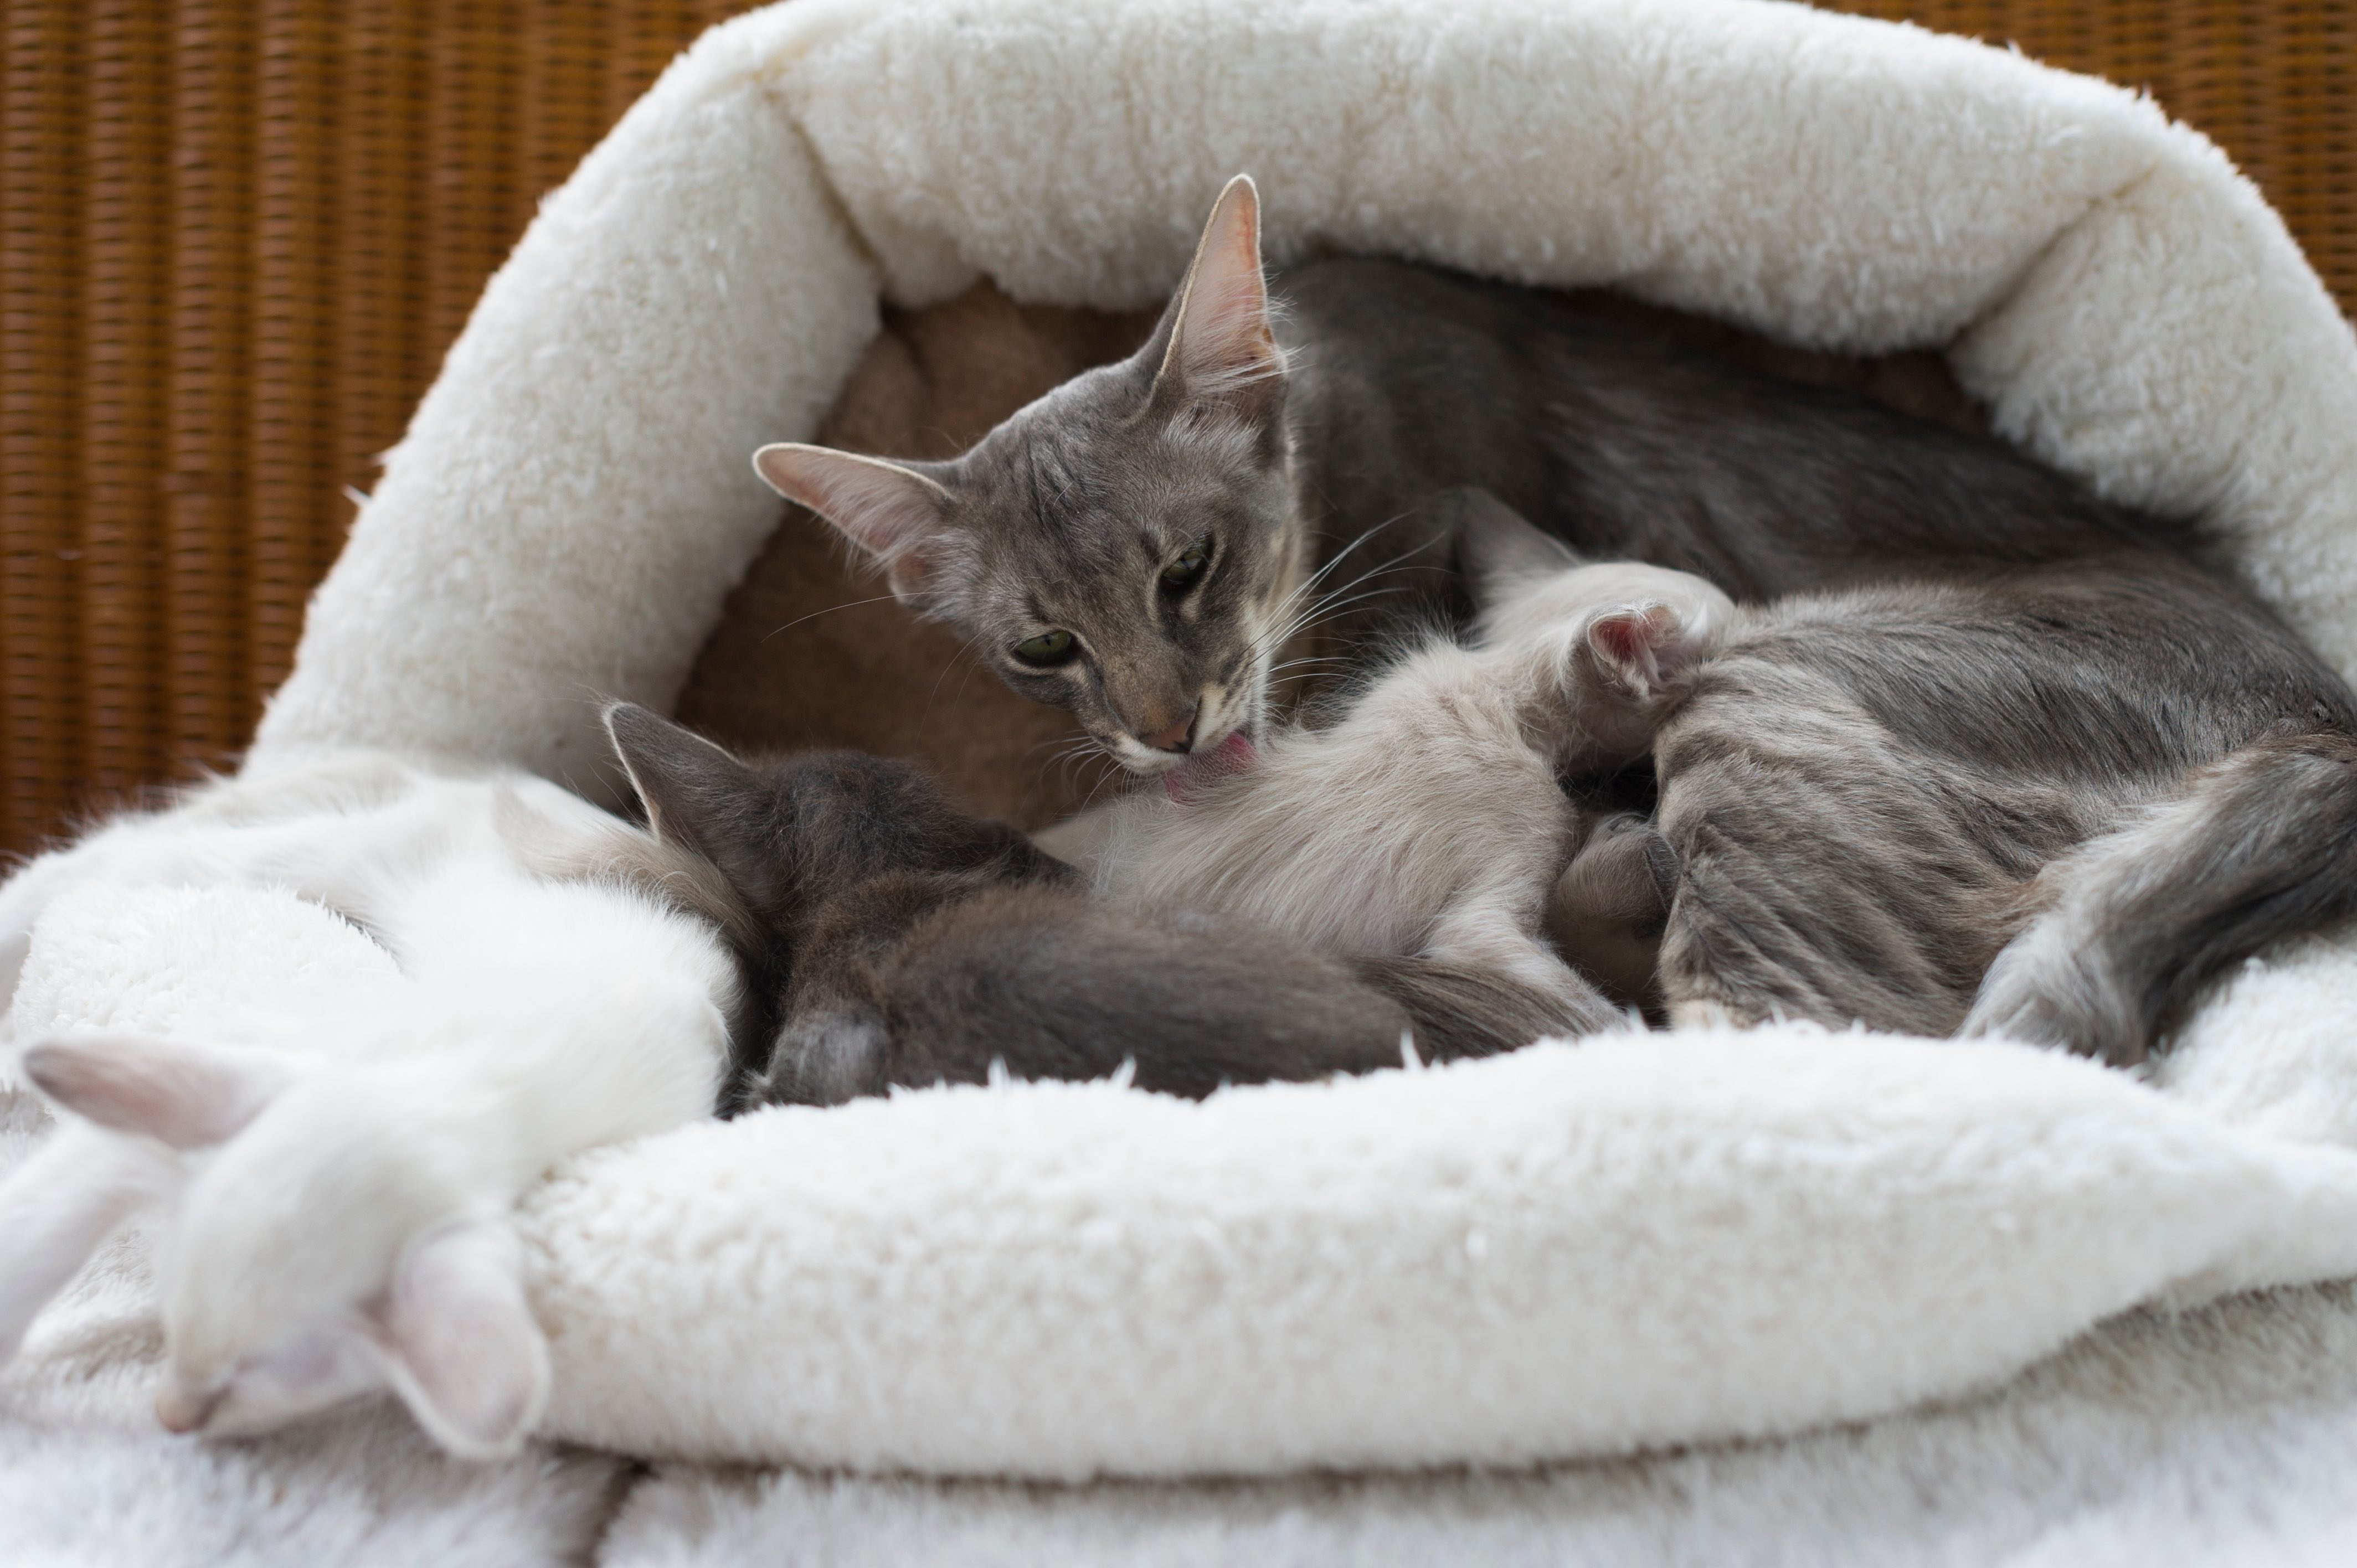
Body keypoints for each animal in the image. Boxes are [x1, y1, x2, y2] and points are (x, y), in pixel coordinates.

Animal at [0, 754, 735, 1452]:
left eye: (254, 1377)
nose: (168, 1416)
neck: (481, 1070)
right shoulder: (223, 1075)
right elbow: (38, 1228)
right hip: (327, 854)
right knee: (112, 858)